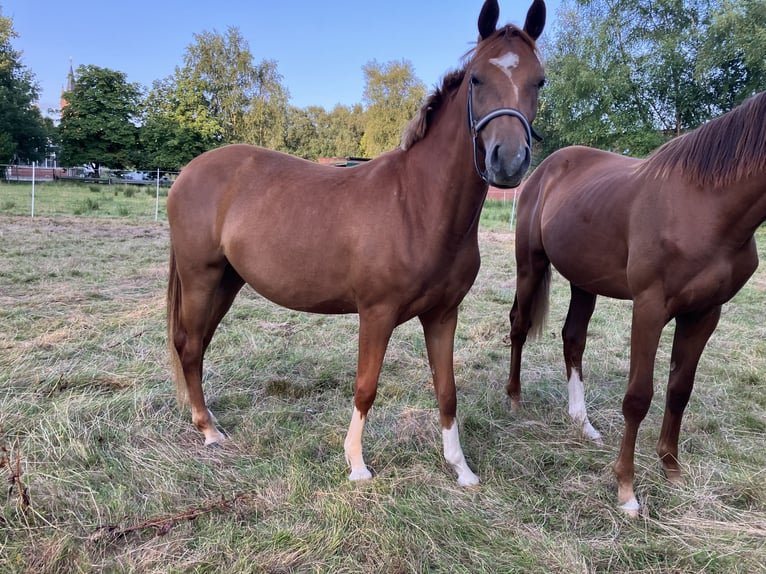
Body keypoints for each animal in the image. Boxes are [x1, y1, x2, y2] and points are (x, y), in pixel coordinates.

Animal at [170, 0, 544, 486]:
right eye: (477, 78)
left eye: (539, 80)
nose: (508, 160)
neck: (418, 205)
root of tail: (188, 172)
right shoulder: (377, 313)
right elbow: (366, 386)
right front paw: (356, 464)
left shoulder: (443, 315)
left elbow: (447, 390)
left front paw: (461, 468)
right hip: (201, 278)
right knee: (190, 345)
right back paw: (208, 430)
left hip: (227, 282)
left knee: (197, 346)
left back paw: (207, 420)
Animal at [510, 91, 766, 516]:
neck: (706, 205)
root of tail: (545, 169)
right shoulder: (650, 308)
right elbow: (638, 397)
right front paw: (626, 489)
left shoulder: (704, 314)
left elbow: (680, 390)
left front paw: (671, 469)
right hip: (530, 265)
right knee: (518, 326)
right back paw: (513, 400)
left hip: (584, 282)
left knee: (573, 339)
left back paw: (583, 422)